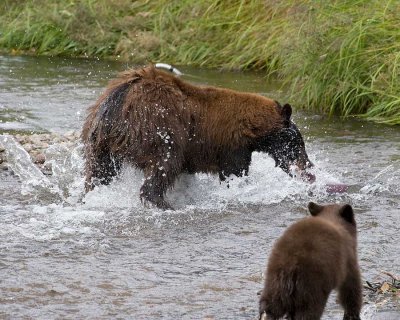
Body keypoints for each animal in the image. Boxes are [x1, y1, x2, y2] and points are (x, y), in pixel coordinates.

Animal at [81, 65, 314, 210]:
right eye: (297, 143)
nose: (310, 170)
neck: (253, 130)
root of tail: (119, 98)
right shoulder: (232, 146)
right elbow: (234, 173)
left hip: (99, 142)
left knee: (98, 172)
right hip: (159, 127)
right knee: (165, 163)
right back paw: (164, 204)